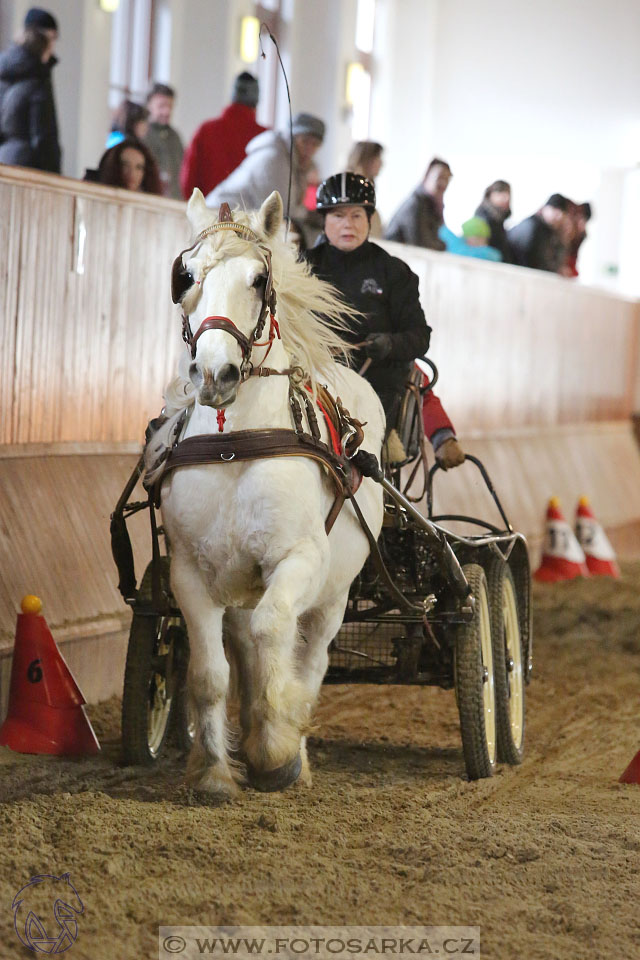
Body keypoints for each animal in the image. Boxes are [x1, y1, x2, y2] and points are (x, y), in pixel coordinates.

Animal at [146, 188, 384, 796]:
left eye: (258, 279)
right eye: (185, 277)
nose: (214, 374)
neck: (236, 445)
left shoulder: (299, 559)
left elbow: (275, 632)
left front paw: (278, 753)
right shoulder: (190, 572)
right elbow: (210, 673)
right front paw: (212, 772)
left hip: (334, 593)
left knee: (308, 658)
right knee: (249, 650)